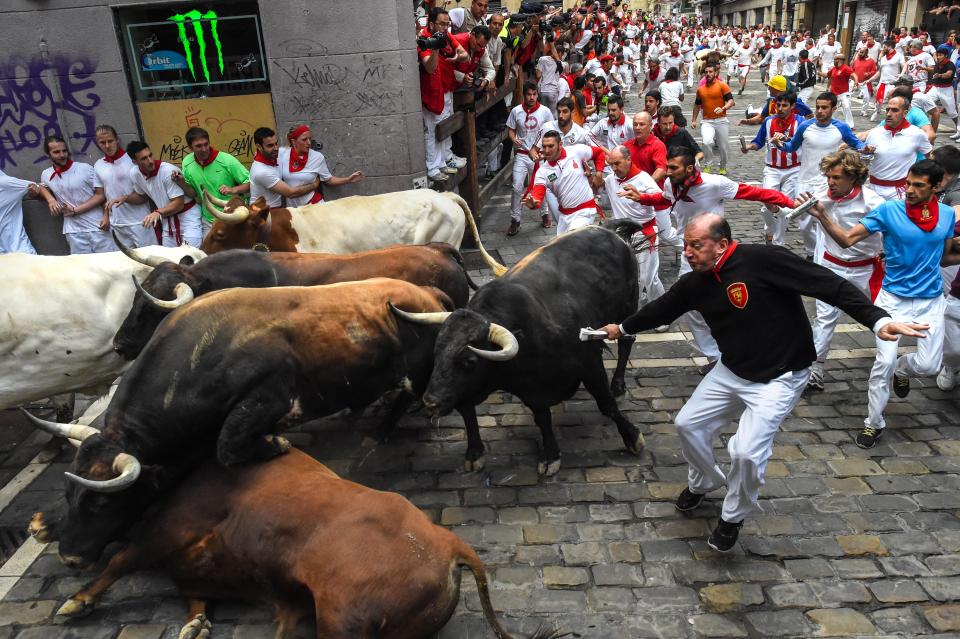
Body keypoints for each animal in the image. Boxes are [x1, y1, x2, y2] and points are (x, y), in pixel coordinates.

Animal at [37, 450, 560, 639]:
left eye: (97, 498)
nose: (67, 551)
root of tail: (450, 544)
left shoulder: (168, 532)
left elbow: (122, 560)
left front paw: (76, 601)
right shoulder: (195, 573)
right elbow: (193, 600)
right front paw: (195, 625)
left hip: (340, 624)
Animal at [390, 228, 644, 478]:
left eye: (469, 361)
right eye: (437, 352)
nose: (430, 401)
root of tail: (611, 232)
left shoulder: (589, 364)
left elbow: (606, 404)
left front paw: (633, 437)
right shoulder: (529, 389)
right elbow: (541, 418)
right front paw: (550, 455)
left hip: (628, 309)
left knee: (625, 344)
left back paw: (618, 385)